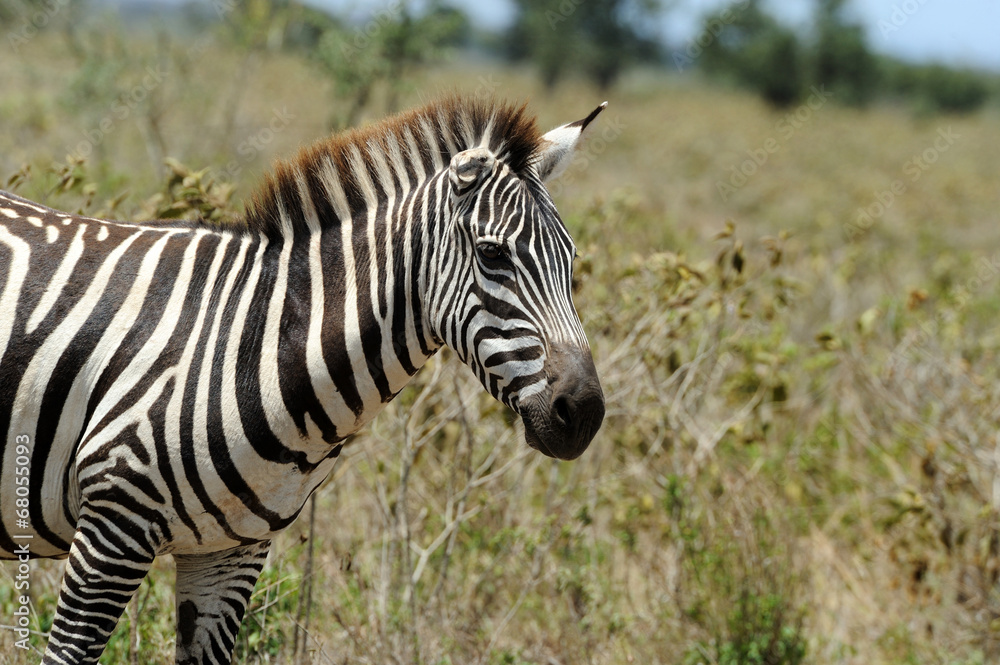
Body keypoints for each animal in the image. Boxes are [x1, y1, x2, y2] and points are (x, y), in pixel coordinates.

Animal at [0, 96, 606, 664]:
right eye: (491, 254)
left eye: (570, 258)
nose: (585, 415)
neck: (258, 342)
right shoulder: (113, 522)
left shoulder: (230, 552)